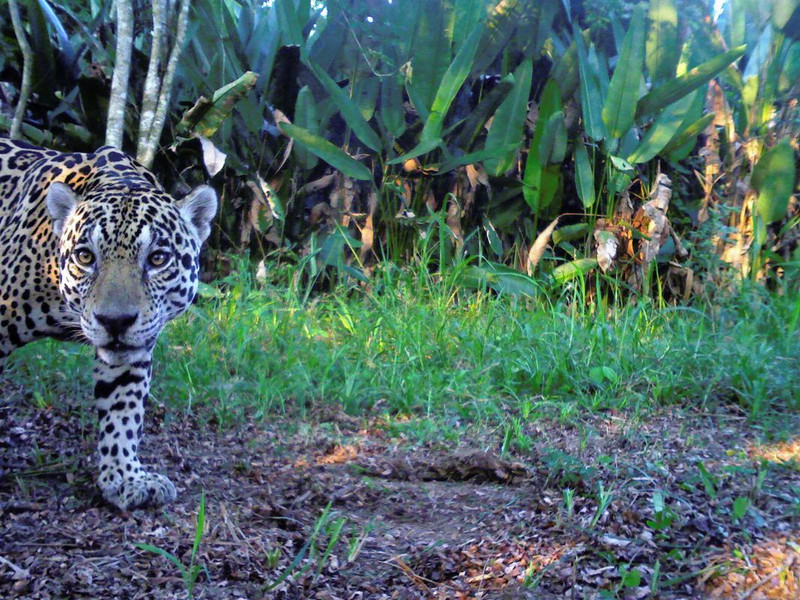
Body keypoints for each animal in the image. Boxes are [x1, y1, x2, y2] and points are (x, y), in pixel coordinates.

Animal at [0, 138, 217, 510]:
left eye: (157, 259)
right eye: (85, 257)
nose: (115, 321)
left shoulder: (133, 353)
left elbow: (123, 410)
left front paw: (126, 476)